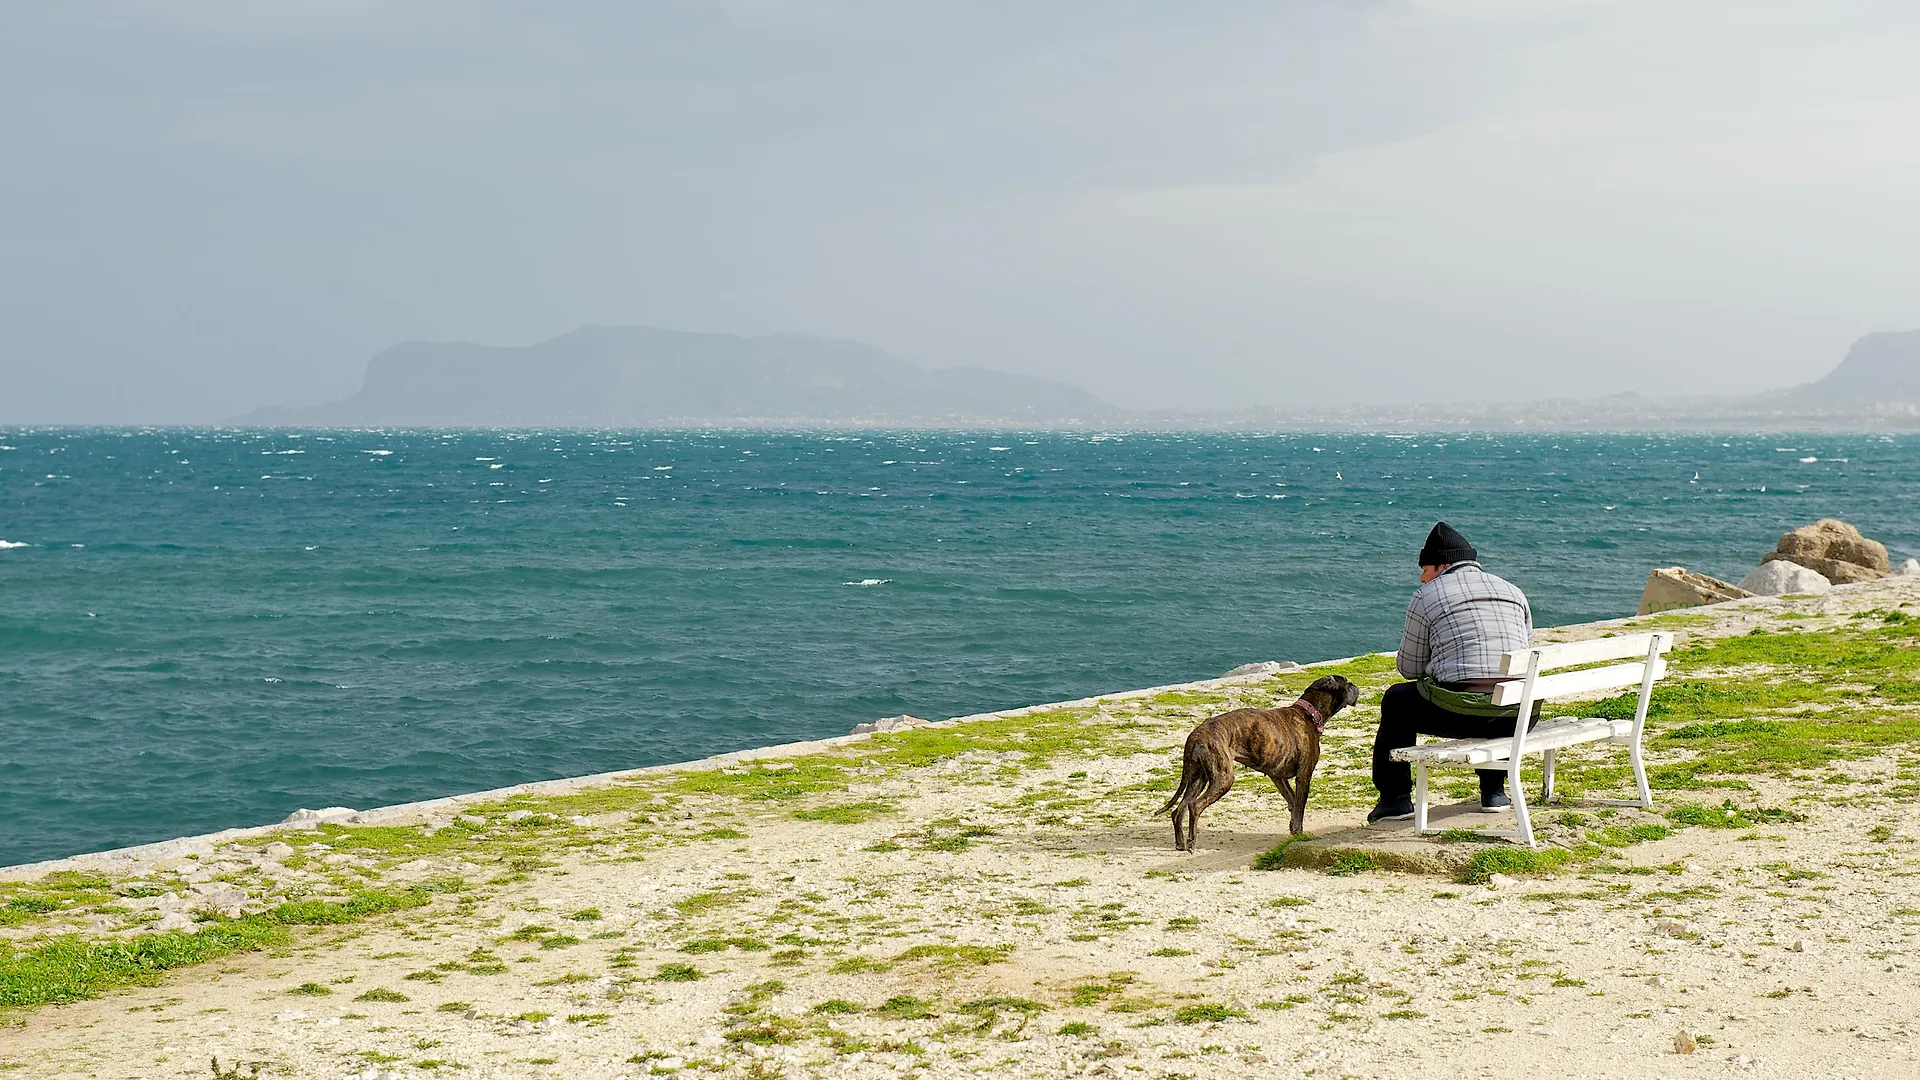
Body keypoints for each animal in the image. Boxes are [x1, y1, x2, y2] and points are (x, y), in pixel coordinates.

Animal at [1159, 672, 1359, 849]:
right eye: (1348, 683)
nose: (1356, 686)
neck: (1309, 713)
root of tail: (1196, 735)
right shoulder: (1303, 776)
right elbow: (1300, 806)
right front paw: (1299, 832)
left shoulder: (1278, 777)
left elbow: (1293, 802)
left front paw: (1292, 827)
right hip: (1222, 778)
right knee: (1194, 806)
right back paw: (1192, 843)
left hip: (1197, 778)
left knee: (1179, 809)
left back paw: (1180, 844)